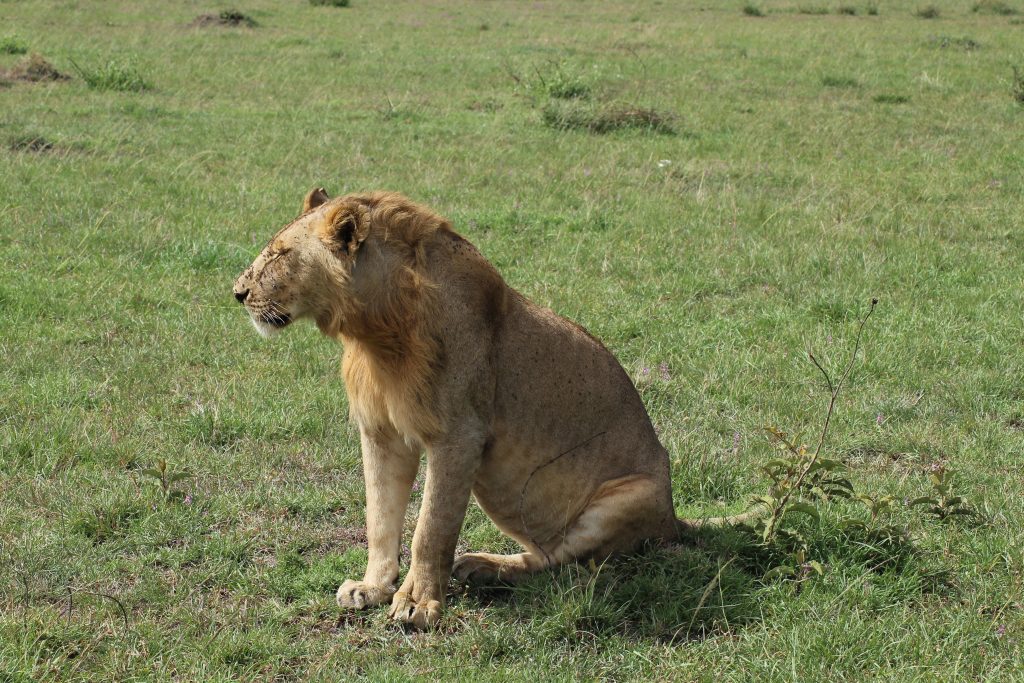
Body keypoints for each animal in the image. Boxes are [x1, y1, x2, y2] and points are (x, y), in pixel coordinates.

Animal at [233, 189, 750, 629]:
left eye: (279, 254)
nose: (237, 293)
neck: (374, 332)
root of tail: (673, 517)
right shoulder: (381, 432)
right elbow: (380, 516)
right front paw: (373, 587)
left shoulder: (459, 436)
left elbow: (431, 529)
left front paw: (417, 604)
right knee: (544, 553)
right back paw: (480, 567)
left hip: (623, 496)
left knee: (563, 563)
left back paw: (485, 567)